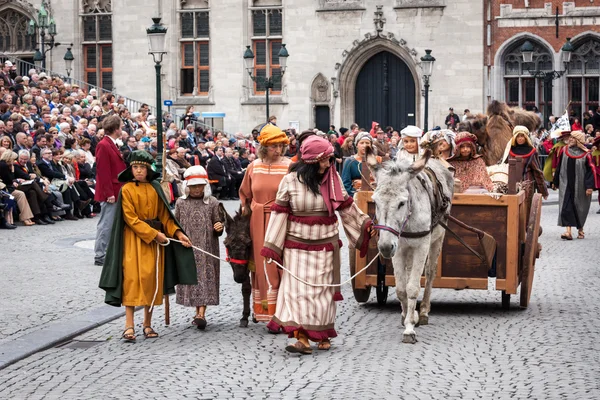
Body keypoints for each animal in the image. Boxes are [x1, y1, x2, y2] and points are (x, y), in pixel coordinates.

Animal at [366, 148, 454, 344]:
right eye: (375, 201)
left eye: (402, 202)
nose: (384, 247)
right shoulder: (398, 248)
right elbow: (401, 289)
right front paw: (408, 317)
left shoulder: (421, 246)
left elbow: (413, 288)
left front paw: (409, 329)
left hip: (437, 239)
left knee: (429, 273)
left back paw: (423, 312)